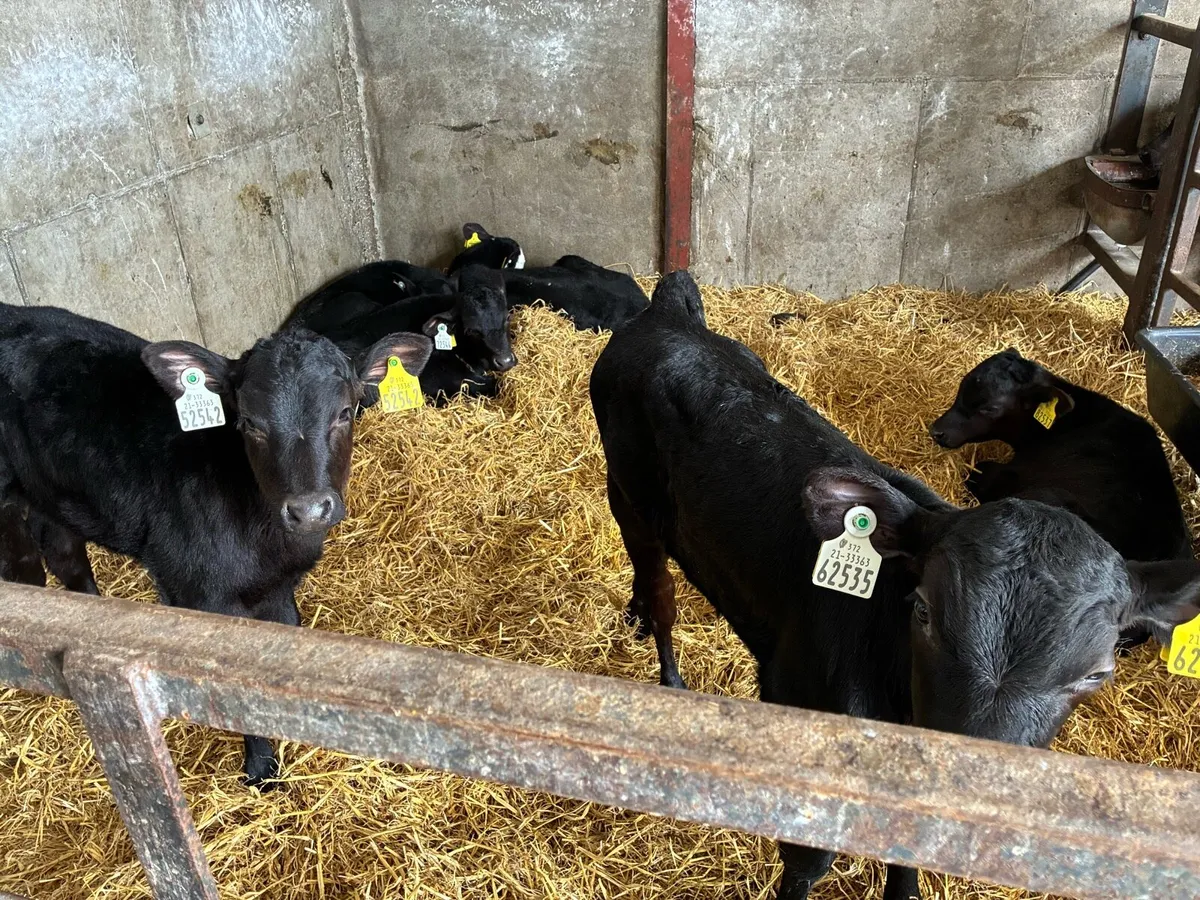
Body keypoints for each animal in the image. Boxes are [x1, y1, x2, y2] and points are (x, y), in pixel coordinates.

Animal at [0, 302, 431, 787]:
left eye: (344, 411)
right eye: (249, 422)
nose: (308, 510)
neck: (265, 540)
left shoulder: (279, 588)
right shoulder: (198, 590)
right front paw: (261, 770)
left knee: (63, 549)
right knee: (25, 567)